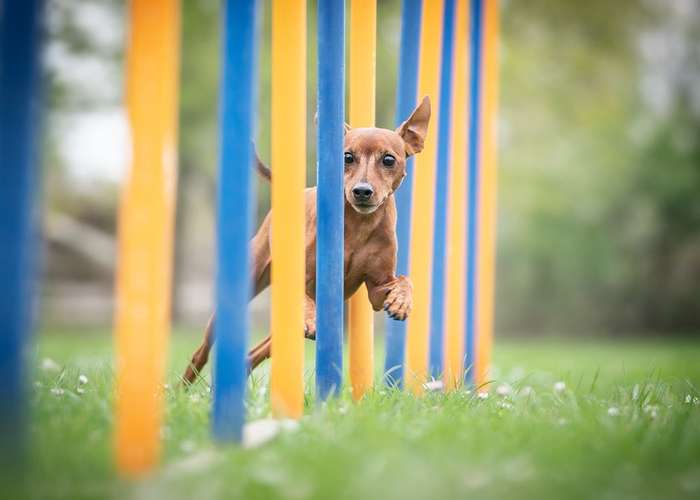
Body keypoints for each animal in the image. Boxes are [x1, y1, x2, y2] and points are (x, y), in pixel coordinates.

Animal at [183, 95, 430, 382]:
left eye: (389, 160)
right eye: (347, 157)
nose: (362, 191)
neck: (359, 225)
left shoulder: (378, 287)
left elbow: (403, 280)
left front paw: (402, 302)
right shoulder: (301, 276)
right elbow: (303, 297)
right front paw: (310, 316)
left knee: (256, 352)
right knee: (201, 352)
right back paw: (185, 387)